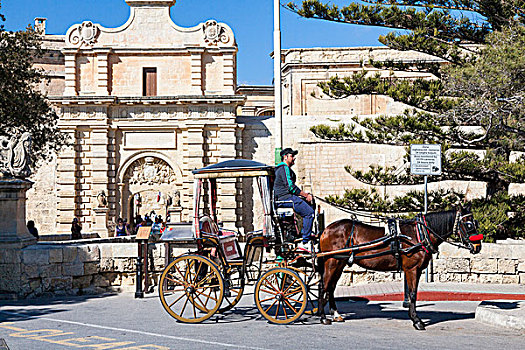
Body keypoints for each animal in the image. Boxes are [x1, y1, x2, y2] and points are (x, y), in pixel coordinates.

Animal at [318, 204, 482, 330]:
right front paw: (417, 321)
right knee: (324, 286)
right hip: (332, 261)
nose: (477, 246)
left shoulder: (417, 270)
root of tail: (326, 230)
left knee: (331, 287)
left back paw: (335, 314)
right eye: (468, 224)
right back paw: (322, 317)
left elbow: (412, 293)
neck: (420, 234)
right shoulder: (411, 269)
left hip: (340, 262)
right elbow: (413, 294)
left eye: (475, 222)